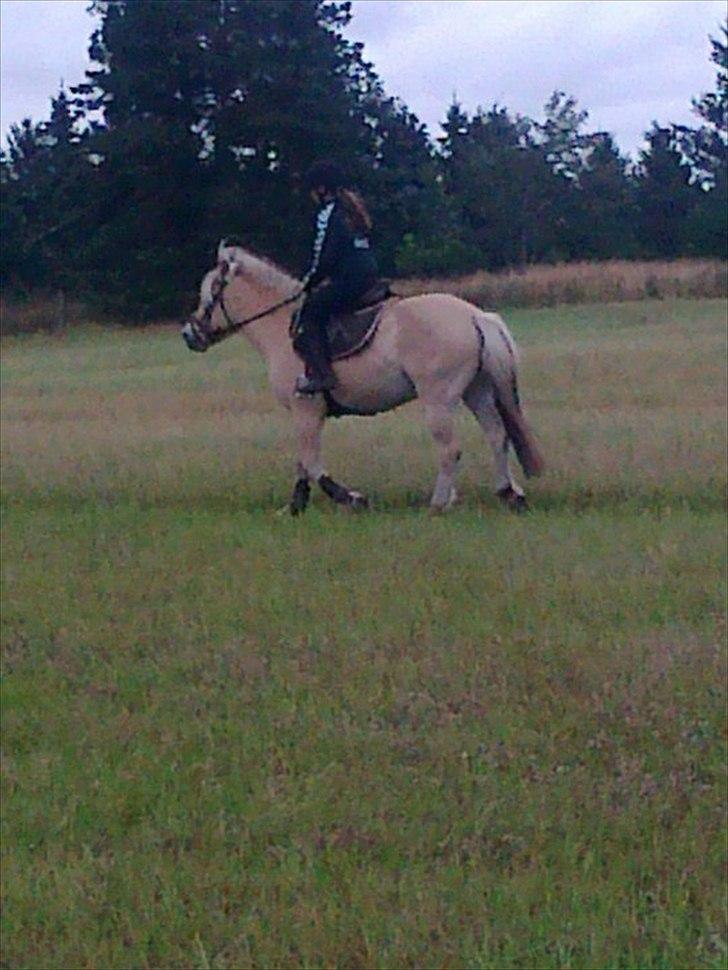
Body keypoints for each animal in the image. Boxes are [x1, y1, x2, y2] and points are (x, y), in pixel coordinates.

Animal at [181, 241, 544, 515]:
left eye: (208, 293)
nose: (189, 334)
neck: (281, 327)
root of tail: (475, 316)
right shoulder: (305, 414)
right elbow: (303, 462)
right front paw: (295, 506)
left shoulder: (305, 409)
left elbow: (311, 462)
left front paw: (352, 499)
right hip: (476, 391)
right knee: (497, 435)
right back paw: (510, 494)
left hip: (439, 398)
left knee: (450, 449)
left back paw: (439, 504)